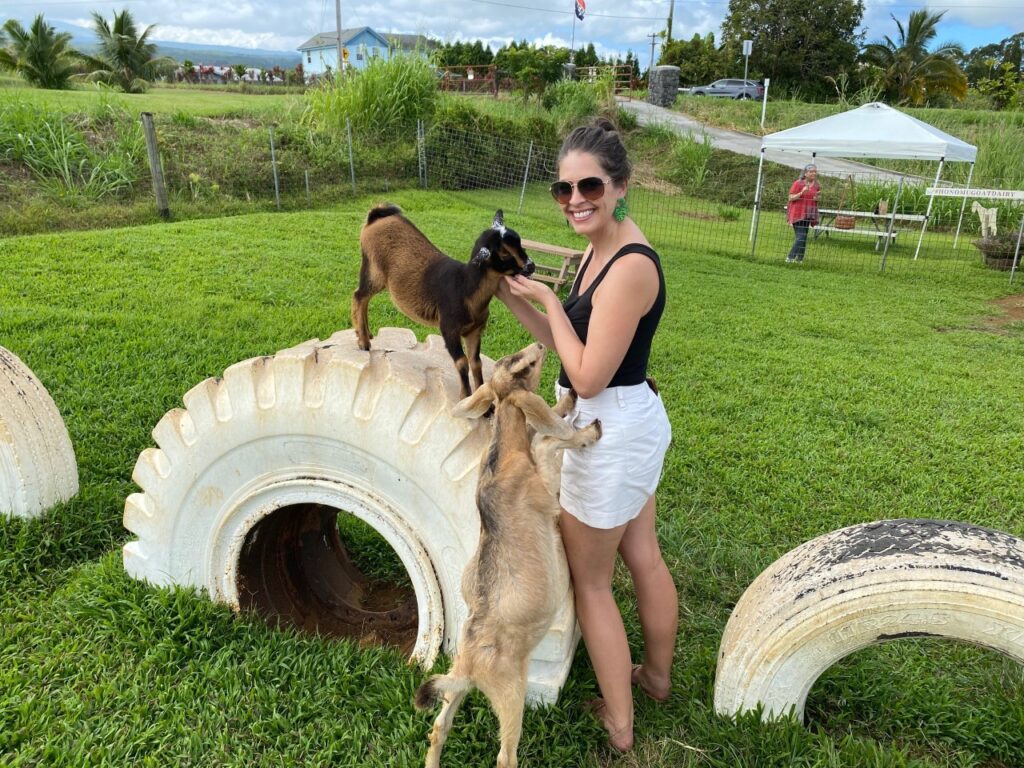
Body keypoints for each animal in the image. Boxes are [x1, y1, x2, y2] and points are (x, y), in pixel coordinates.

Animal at [352, 204, 536, 399]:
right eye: (504, 253)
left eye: (520, 242)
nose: (531, 266)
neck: (464, 285)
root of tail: (376, 217)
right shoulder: (449, 327)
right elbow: (462, 361)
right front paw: (466, 396)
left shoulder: (474, 331)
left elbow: (476, 362)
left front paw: (482, 397)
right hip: (374, 268)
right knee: (359, 296)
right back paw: (363, 342)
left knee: (363, 298)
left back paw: (366, 335)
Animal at [413, 344, 598, 768]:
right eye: (525, 367)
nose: (542, 345)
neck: (503, 459)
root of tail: (469, 664)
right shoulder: (545, 487)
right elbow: (548, 441)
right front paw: (589, 431)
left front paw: (569, 402)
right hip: (511, 693)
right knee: (504, 756)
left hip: (456, 689)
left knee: (438, 727)